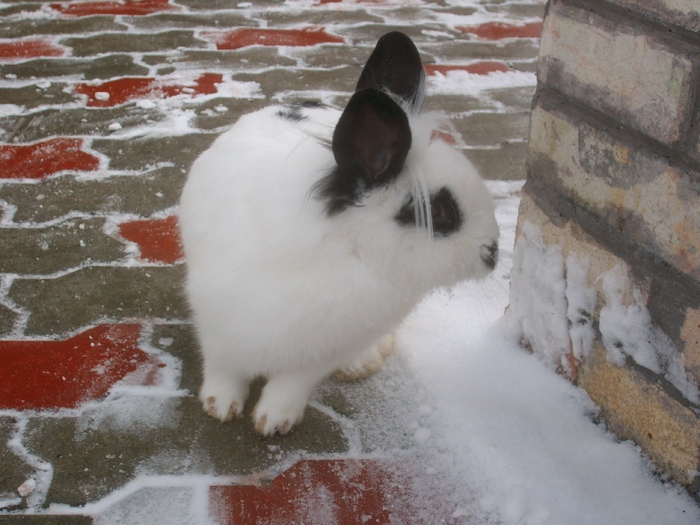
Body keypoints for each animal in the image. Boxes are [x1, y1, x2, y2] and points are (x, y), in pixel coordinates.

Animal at [178, 30, 500, 436]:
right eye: (439, 212)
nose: (493, 252)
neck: (348, 249)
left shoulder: (323, 349)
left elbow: (291, 385)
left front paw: (273, 422)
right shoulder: (216, 321)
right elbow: (223, 367)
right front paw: (220, 406)